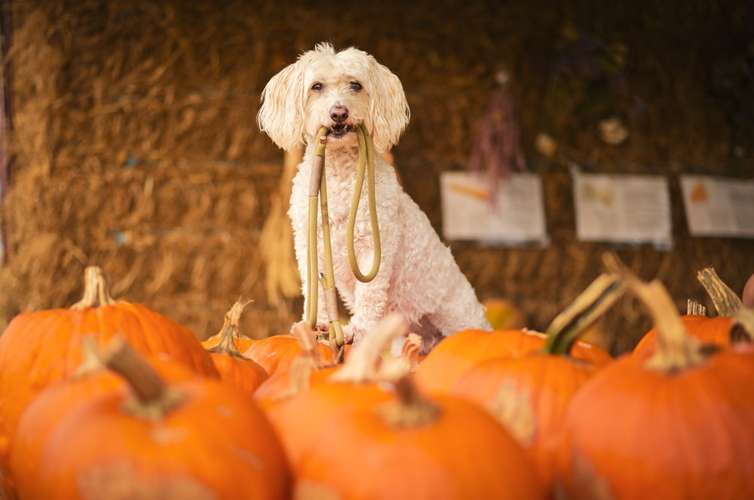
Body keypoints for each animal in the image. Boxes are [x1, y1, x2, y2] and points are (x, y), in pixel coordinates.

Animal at [258, 42, 488, 348]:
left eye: (355, 85)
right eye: (316, 86)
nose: (339, 112)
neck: (339, 171)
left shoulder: (373, 245)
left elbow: (369, 293)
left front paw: (358, 330)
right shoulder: (308, 244)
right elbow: (313, 287)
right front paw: (314, 326)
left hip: (457, 316)